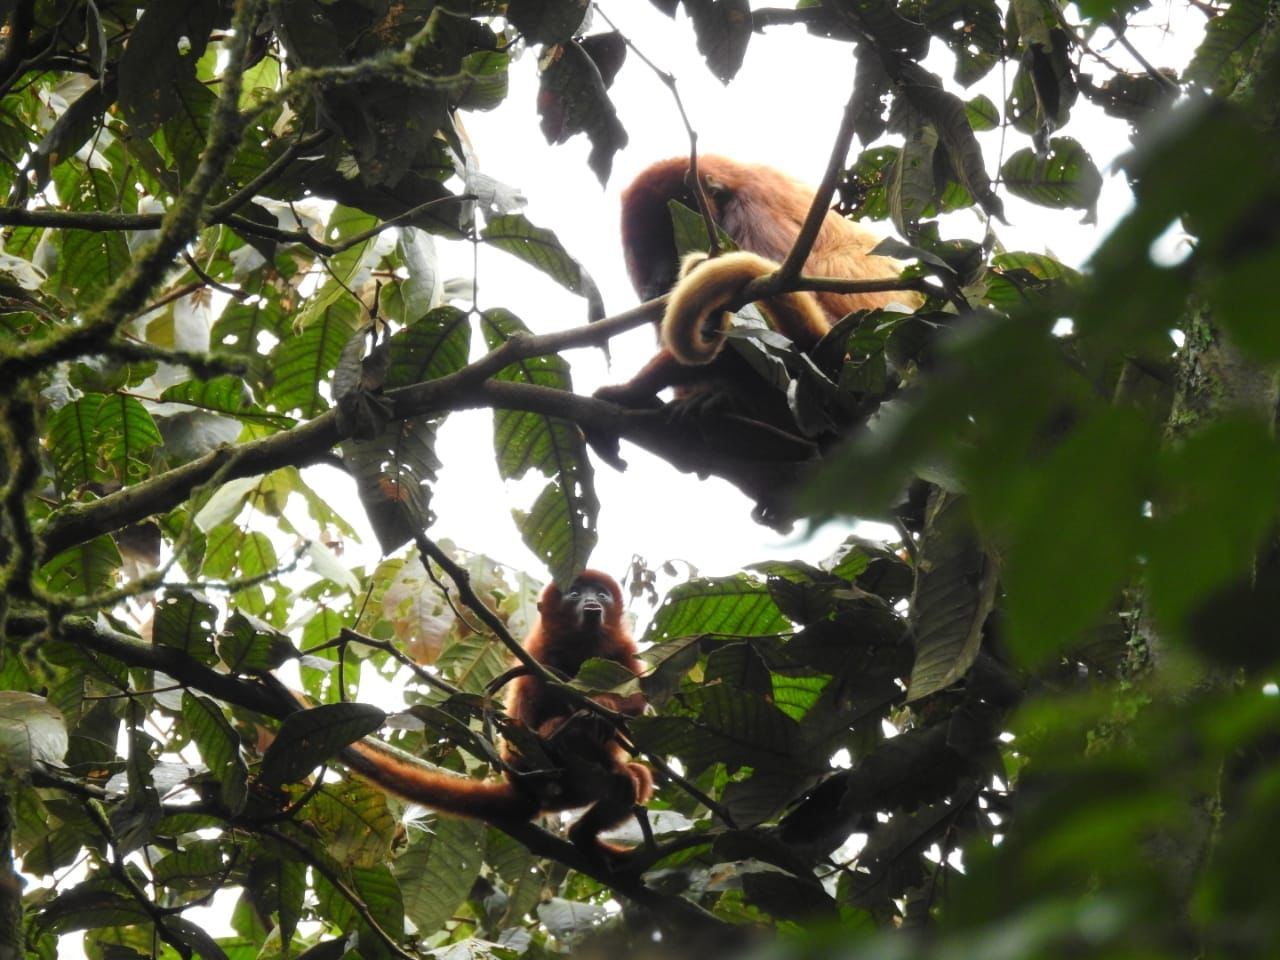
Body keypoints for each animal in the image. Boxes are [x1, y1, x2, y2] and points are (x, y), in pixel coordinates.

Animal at [327, 570, 650, 855]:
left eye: (602, 594)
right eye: (574, 594)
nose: (591, 600)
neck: (582, 644)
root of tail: (527, 793)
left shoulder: (624, 646)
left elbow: (638, 700)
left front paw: (605, 709)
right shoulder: (537, 654)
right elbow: (529, 720)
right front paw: (581, 720)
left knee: (635, 780)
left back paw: (586, 833)